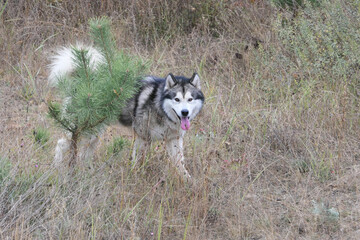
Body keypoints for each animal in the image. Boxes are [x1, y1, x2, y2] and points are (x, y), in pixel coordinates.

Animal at [49, 45, 204, 180]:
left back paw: (90, 174)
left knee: (84, 155)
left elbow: (181, 166)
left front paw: (189, 183)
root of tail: (84, 81)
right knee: (61, 144)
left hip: (94, 134)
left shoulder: (174, 140)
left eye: (190, 99)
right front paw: (135, 179)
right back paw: (57, 169)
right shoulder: (142, 138)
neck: (160, 108)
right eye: (176, 99)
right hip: (85, 131)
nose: (184, 112)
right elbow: (137, 163)